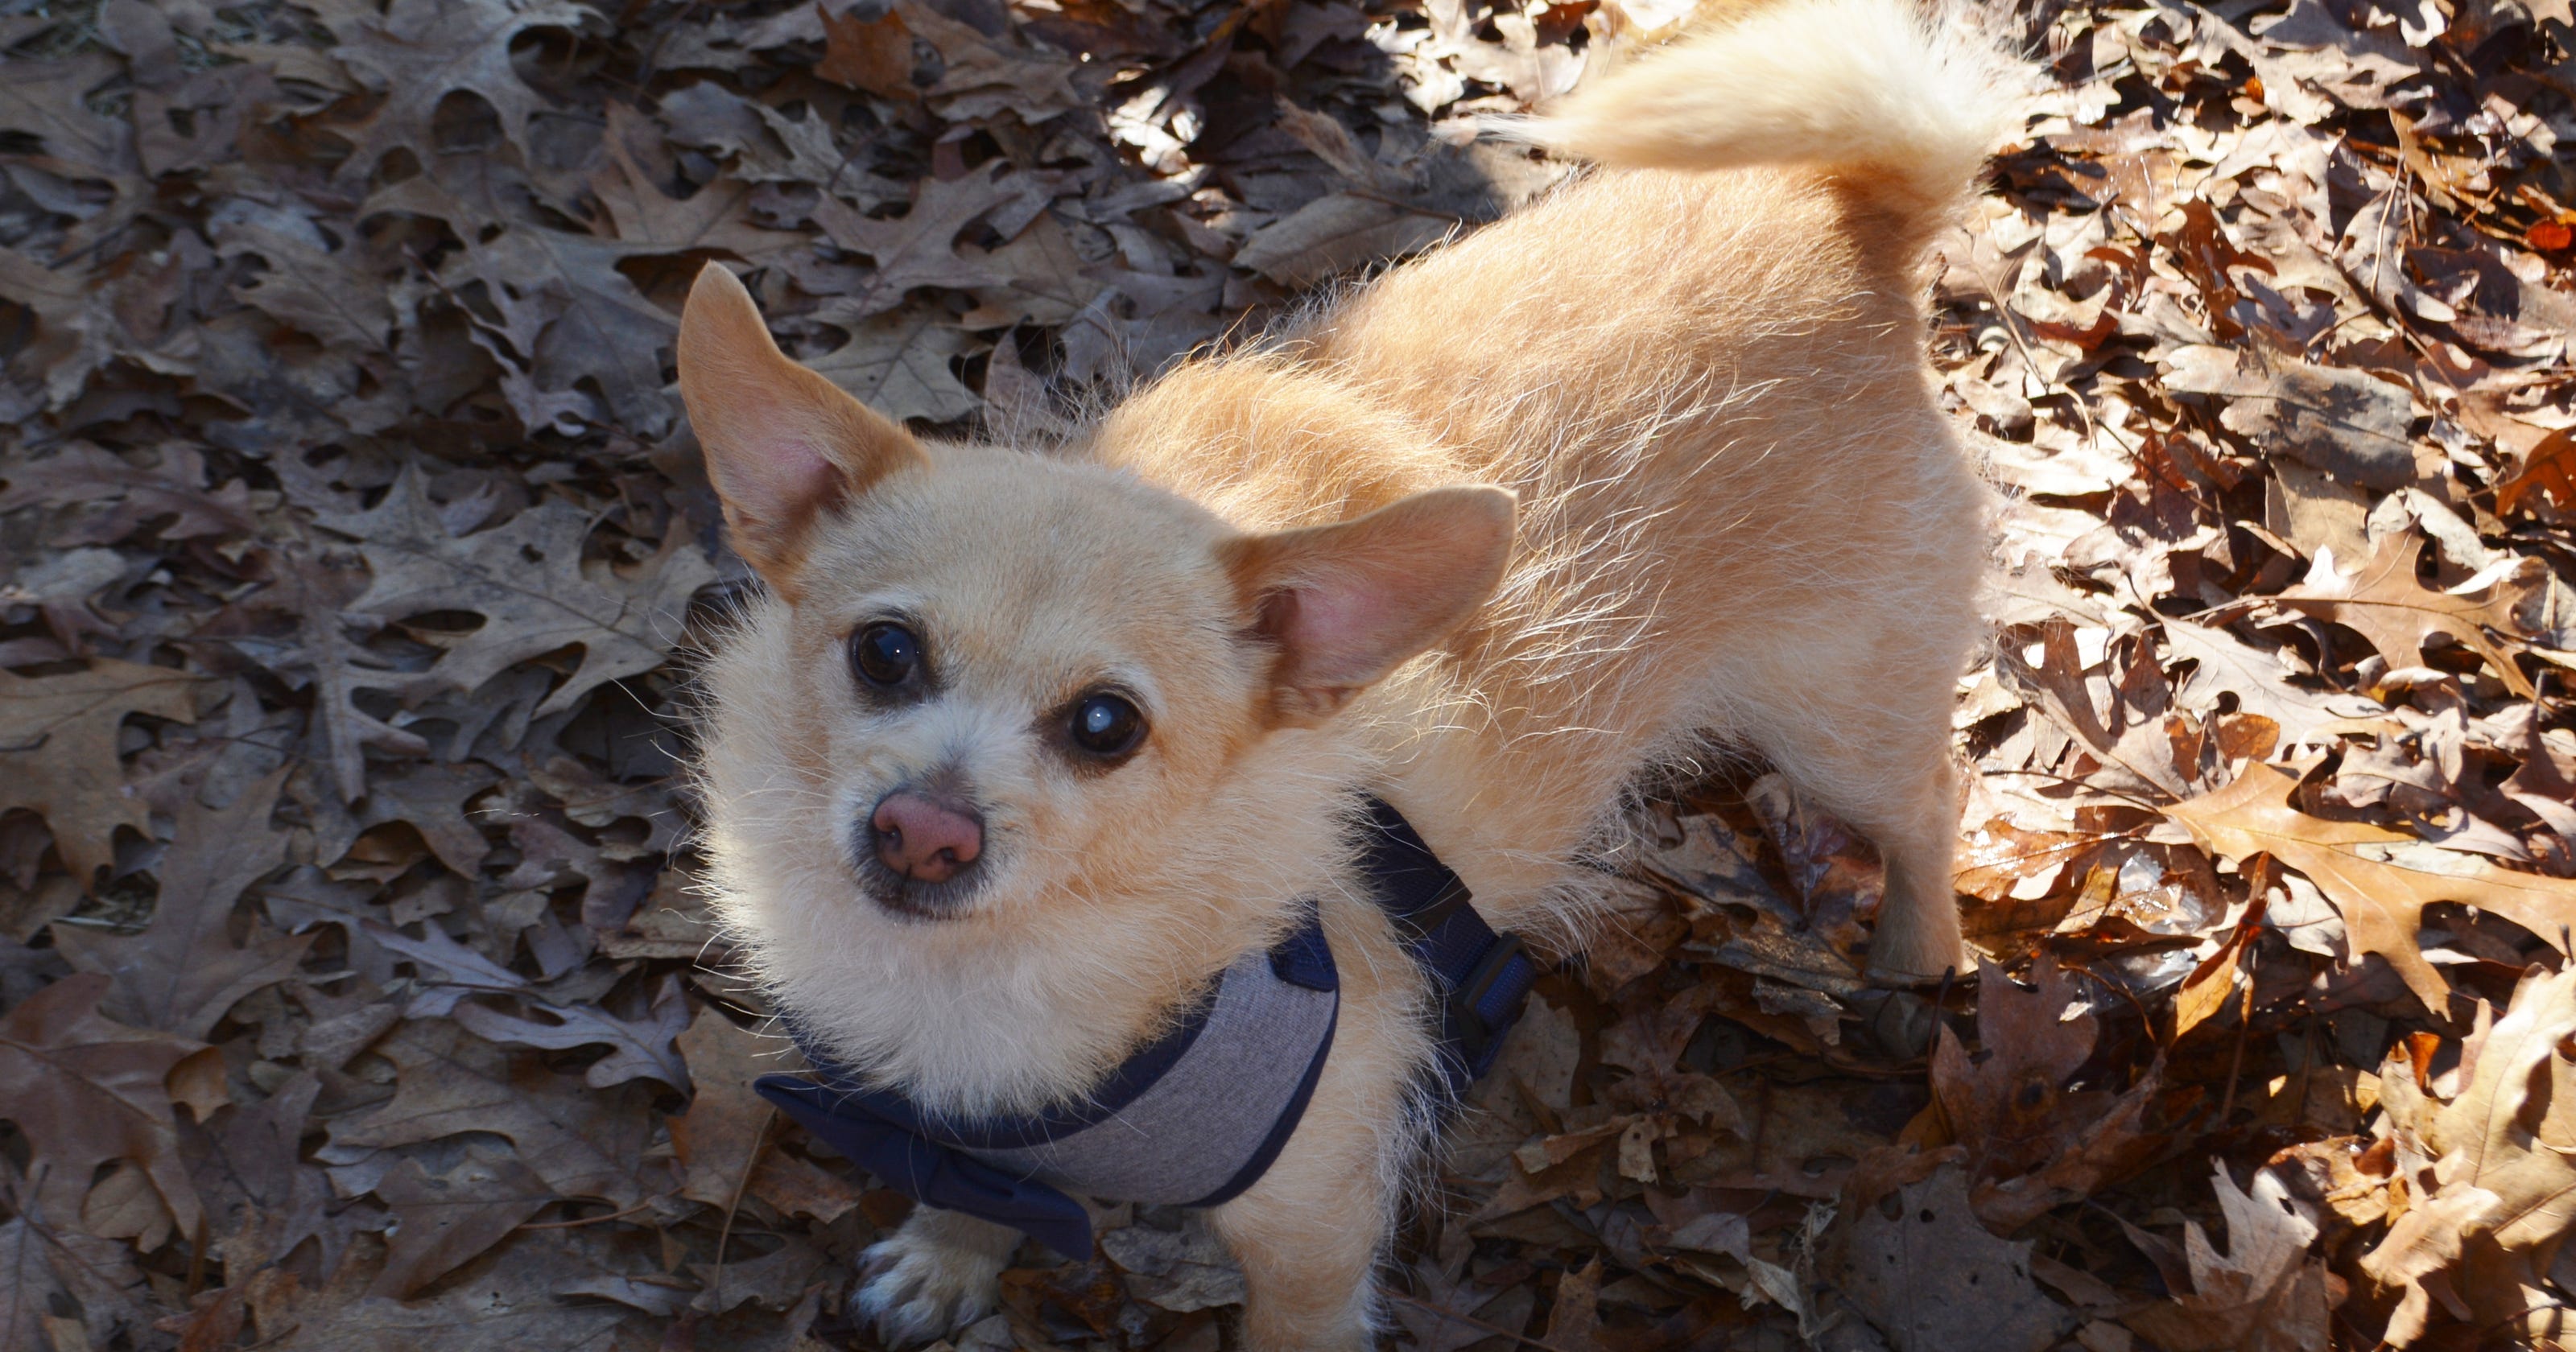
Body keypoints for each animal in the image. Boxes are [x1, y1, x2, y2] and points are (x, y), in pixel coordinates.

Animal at [685, 5, 2029, 1339]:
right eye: (885, 654)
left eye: (1107, 726)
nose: (924, 832)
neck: (987, 985)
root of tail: (1844, 219)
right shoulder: (966, 1138)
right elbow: (975, 1193)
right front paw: (946, 1258)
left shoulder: (1312, 1235)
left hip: (1837, 725)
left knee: (1931, 800)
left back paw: (1914, 952)